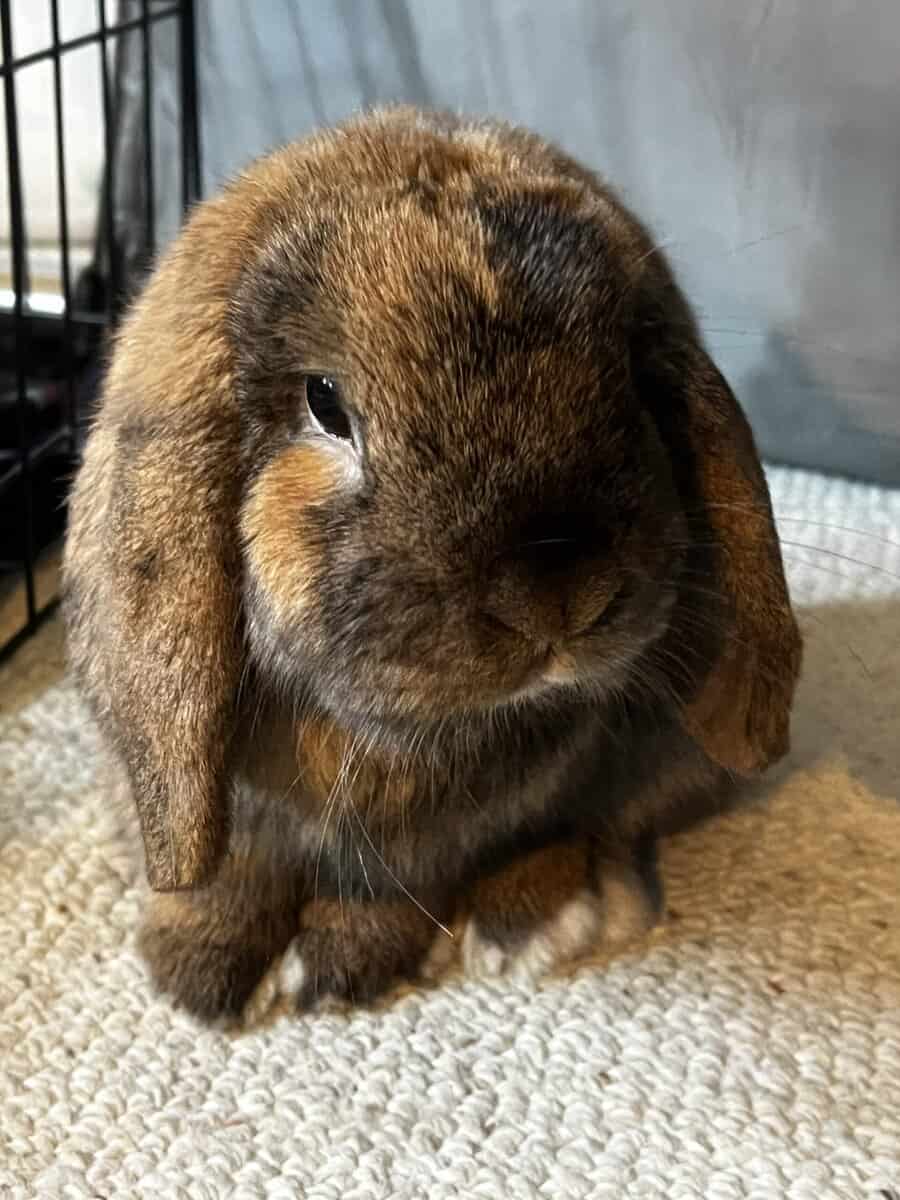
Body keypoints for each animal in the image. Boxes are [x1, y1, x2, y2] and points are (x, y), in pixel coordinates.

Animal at [63, 106, 802, 1022]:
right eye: (326, 404)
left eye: (631, 377)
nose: (559, 599)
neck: (400, 735)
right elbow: (224, 869)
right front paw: (199, 977)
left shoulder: (428, 845)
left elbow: (391, 886)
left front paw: (343, 968)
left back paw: (526, 924)